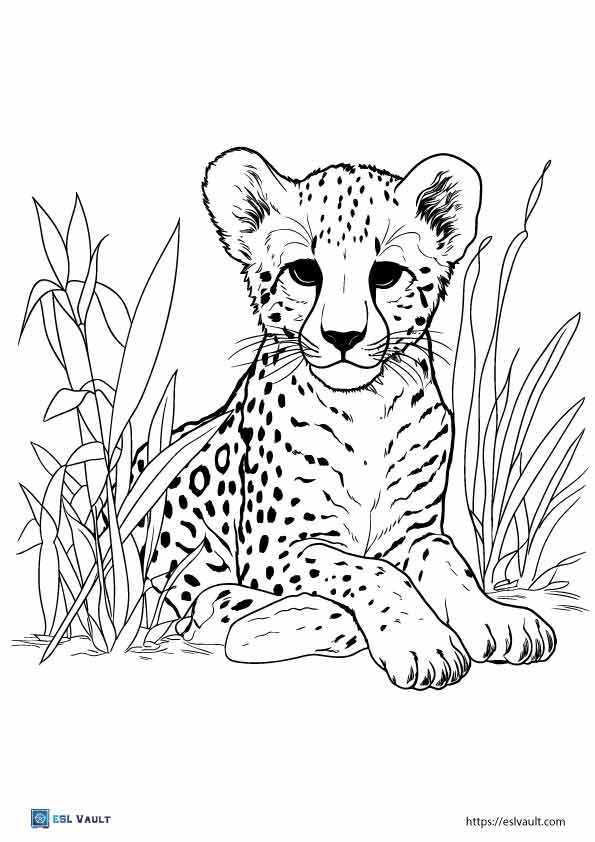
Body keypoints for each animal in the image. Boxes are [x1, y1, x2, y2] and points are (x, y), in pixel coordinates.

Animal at [131, 147, 556, 689]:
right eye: (304, 272)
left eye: (387, 274)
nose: (343, 336)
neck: (365, 409)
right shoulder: (280, 546)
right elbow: (371, 572)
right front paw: (423, 642)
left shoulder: (415, 531)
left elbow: (449, 567)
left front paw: (493, 617)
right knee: (210, 608)